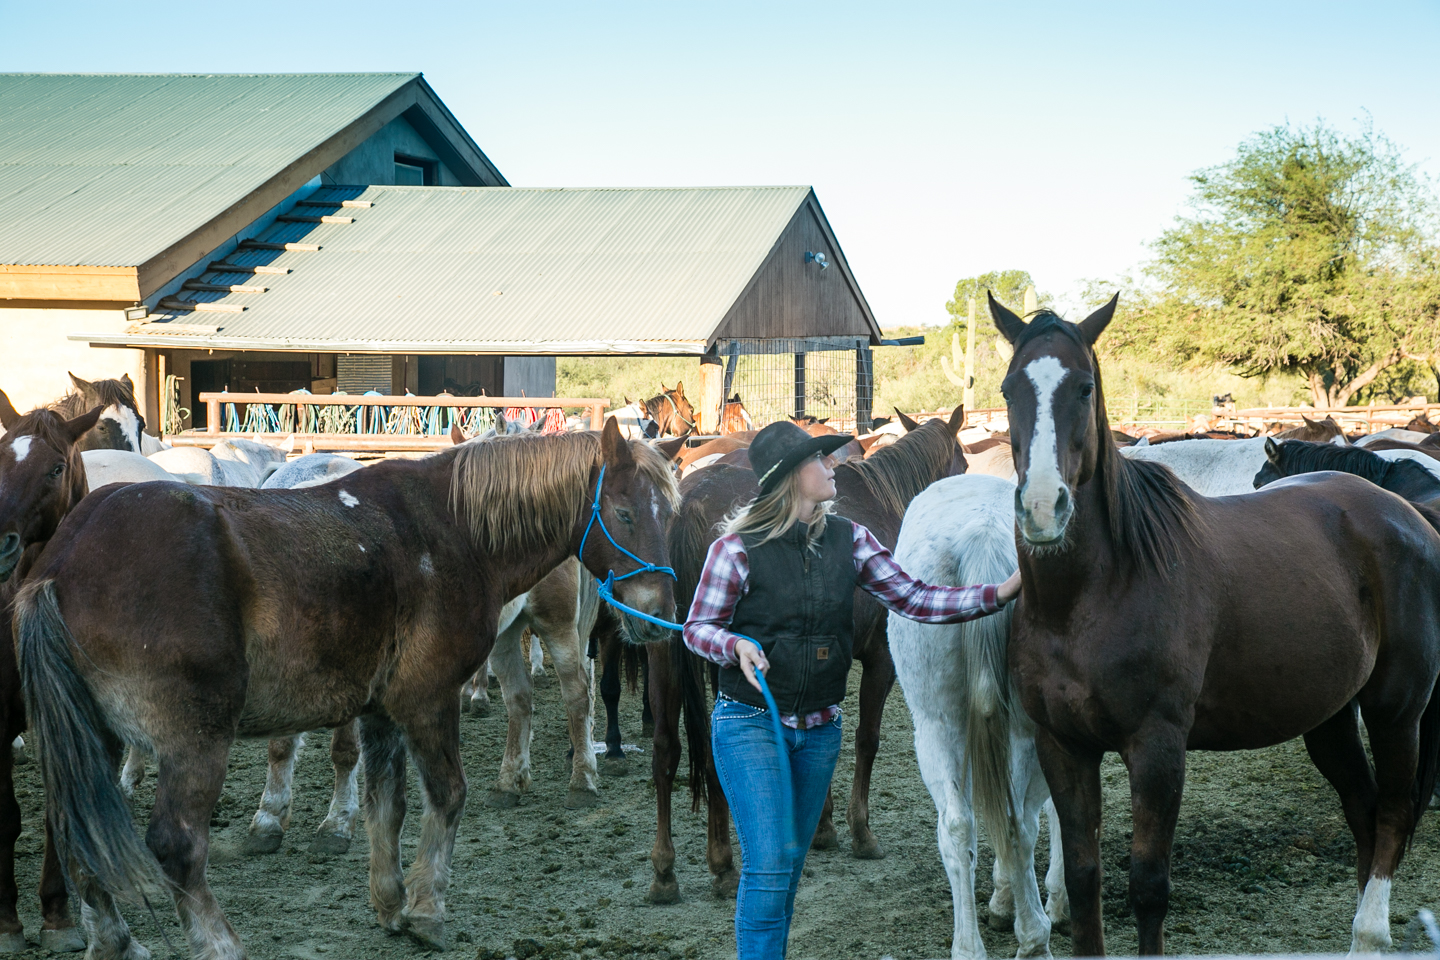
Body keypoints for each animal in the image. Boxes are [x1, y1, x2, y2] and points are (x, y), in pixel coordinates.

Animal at [15, 420, 679, 960]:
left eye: (669, 516)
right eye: (624, 514)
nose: (657, 616)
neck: (449, 528)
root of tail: (65, 560)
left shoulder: (381, 710)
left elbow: (387, 805)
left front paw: (390, 902)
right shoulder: (428, 699)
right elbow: (446, 796)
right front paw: (427, 910)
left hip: (94, 739)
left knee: (80, 835)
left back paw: (115, 941)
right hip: (194, 739)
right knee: (175, 844)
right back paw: (219, 942)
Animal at [881, 472, 1065, 960]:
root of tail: (981, 538)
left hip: (936, 725)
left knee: (960, 826)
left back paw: (970, 944)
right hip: (1024, 730)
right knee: (1019, 823)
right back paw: (1034, 935)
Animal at [996, 296, 1440, 955]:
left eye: (1084, 387)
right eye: (1008, 389)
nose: (1042, 510)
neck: (1088, 599)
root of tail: (1409, 515)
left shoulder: (1157, 748)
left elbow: (1148, 889)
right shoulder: (1063, 746)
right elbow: (1082, 881)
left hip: (1395, 711)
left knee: (1390, 815)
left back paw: (1370, 931)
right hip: (1330, 717)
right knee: (1362, 811)